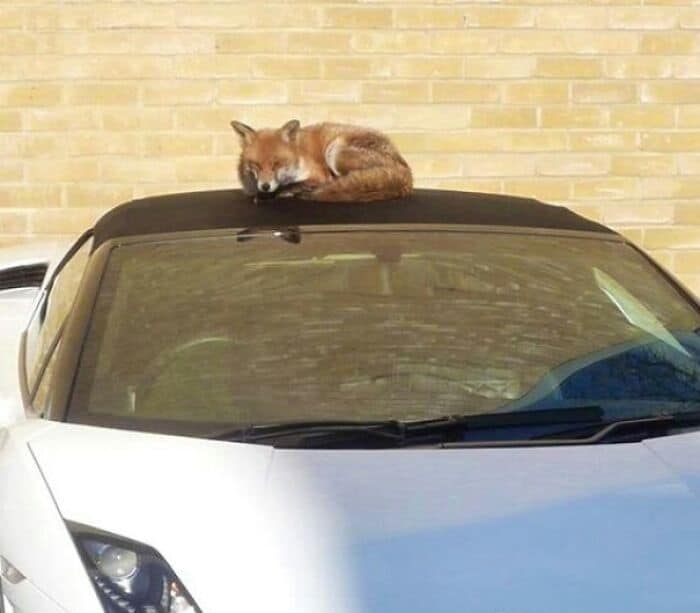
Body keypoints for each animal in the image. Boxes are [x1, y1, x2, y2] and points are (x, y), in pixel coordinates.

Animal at [230, 119, 413, 202]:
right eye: (255, 165)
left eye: (277, 164)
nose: (265, 186)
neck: (299, 154)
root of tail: (406, 172)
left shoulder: (319, 174)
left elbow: (294, 184)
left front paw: (278, 193)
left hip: (335, 153)